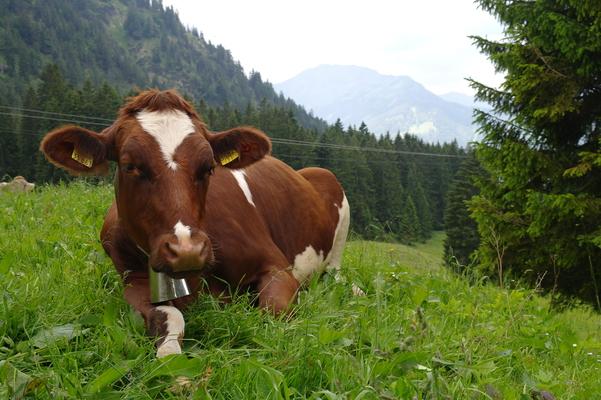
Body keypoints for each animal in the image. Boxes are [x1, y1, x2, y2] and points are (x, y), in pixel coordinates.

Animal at [39, 89, 350, 358]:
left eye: (208, 167)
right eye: (130, 165)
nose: (187, 250)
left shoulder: (276, 265)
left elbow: (274, 311)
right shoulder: (133, 281)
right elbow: (169, 317)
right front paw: (171, 360)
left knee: (336, 277)